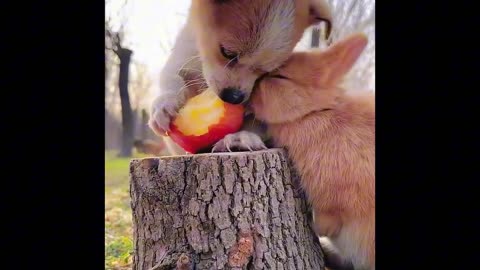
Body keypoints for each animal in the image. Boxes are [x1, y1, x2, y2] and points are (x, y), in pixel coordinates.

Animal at [148, 0, 332, 155]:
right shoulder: (182, 56)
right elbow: (172, 79)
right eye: (227, 53)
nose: (235, 98)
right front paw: (165, 105)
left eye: (266, 72)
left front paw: (243, 134)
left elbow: (260, 119)